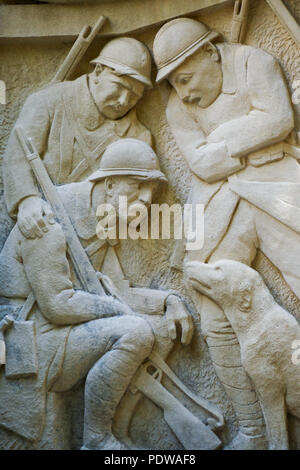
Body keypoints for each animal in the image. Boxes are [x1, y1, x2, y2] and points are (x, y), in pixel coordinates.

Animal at [185, 258, 300, 450]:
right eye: (216, 264)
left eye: (217, 268)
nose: (188, 264)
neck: (256, 321)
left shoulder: (270, 384)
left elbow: (277, 429)